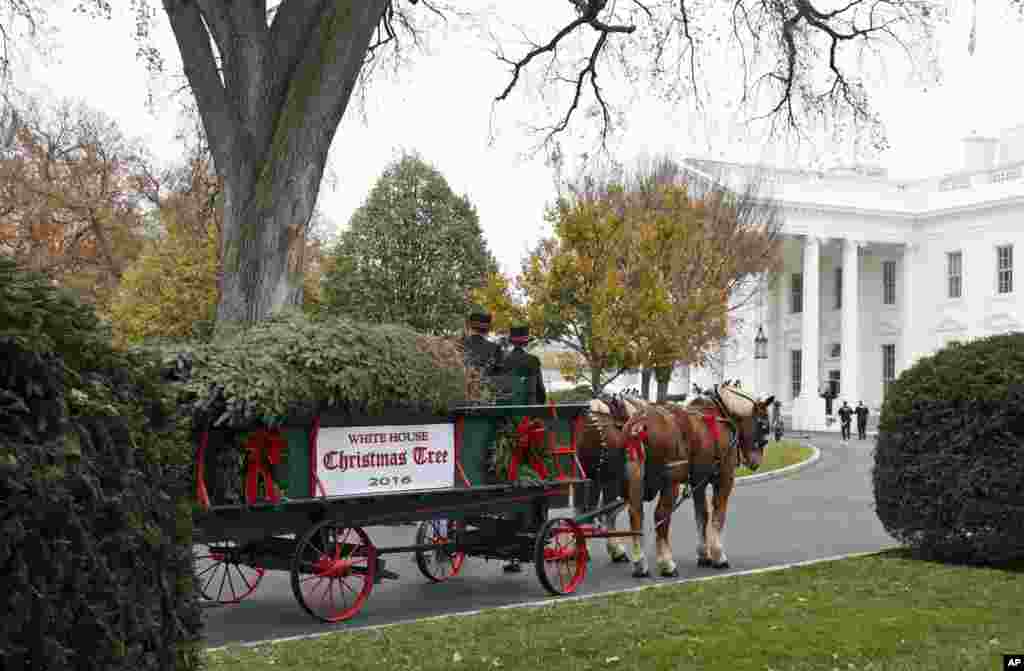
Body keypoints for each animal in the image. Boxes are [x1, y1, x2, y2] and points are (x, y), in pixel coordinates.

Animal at [610, 383, 770, 577]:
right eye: (763, 425)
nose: (756, 462)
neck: (722, 414)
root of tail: (639, 424)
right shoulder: (724, 479)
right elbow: (718, 515)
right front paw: (718, 555)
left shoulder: (698, 482)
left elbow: (702, 515)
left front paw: (704, 554)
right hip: (670, 484)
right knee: (661, 516)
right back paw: (667, 563)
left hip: (632, 481)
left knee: (635, 514)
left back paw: (640, 563)